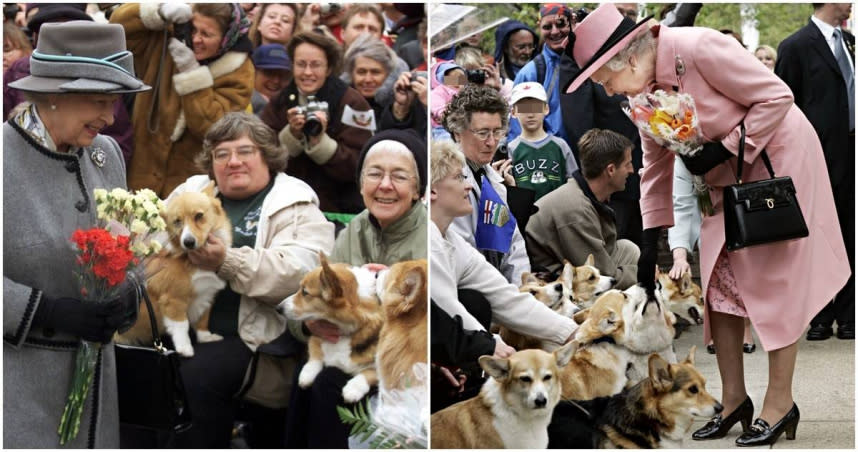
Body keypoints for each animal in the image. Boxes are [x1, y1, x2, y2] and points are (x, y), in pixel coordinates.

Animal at [117, 183, 232, 356]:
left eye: (199, 216)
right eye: (177, 221)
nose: (188, 242)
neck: (192, 260)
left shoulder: (206, 296)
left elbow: (203, 320)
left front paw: (206, 337)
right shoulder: (173, 300)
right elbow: (181, 327)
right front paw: (185, 349)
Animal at [280, 254, 382, 402]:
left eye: (305, 292)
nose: (278, 308)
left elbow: (370, 373)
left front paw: (353, 389)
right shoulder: (317, 333)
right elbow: (315, 354)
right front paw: (307, 374)